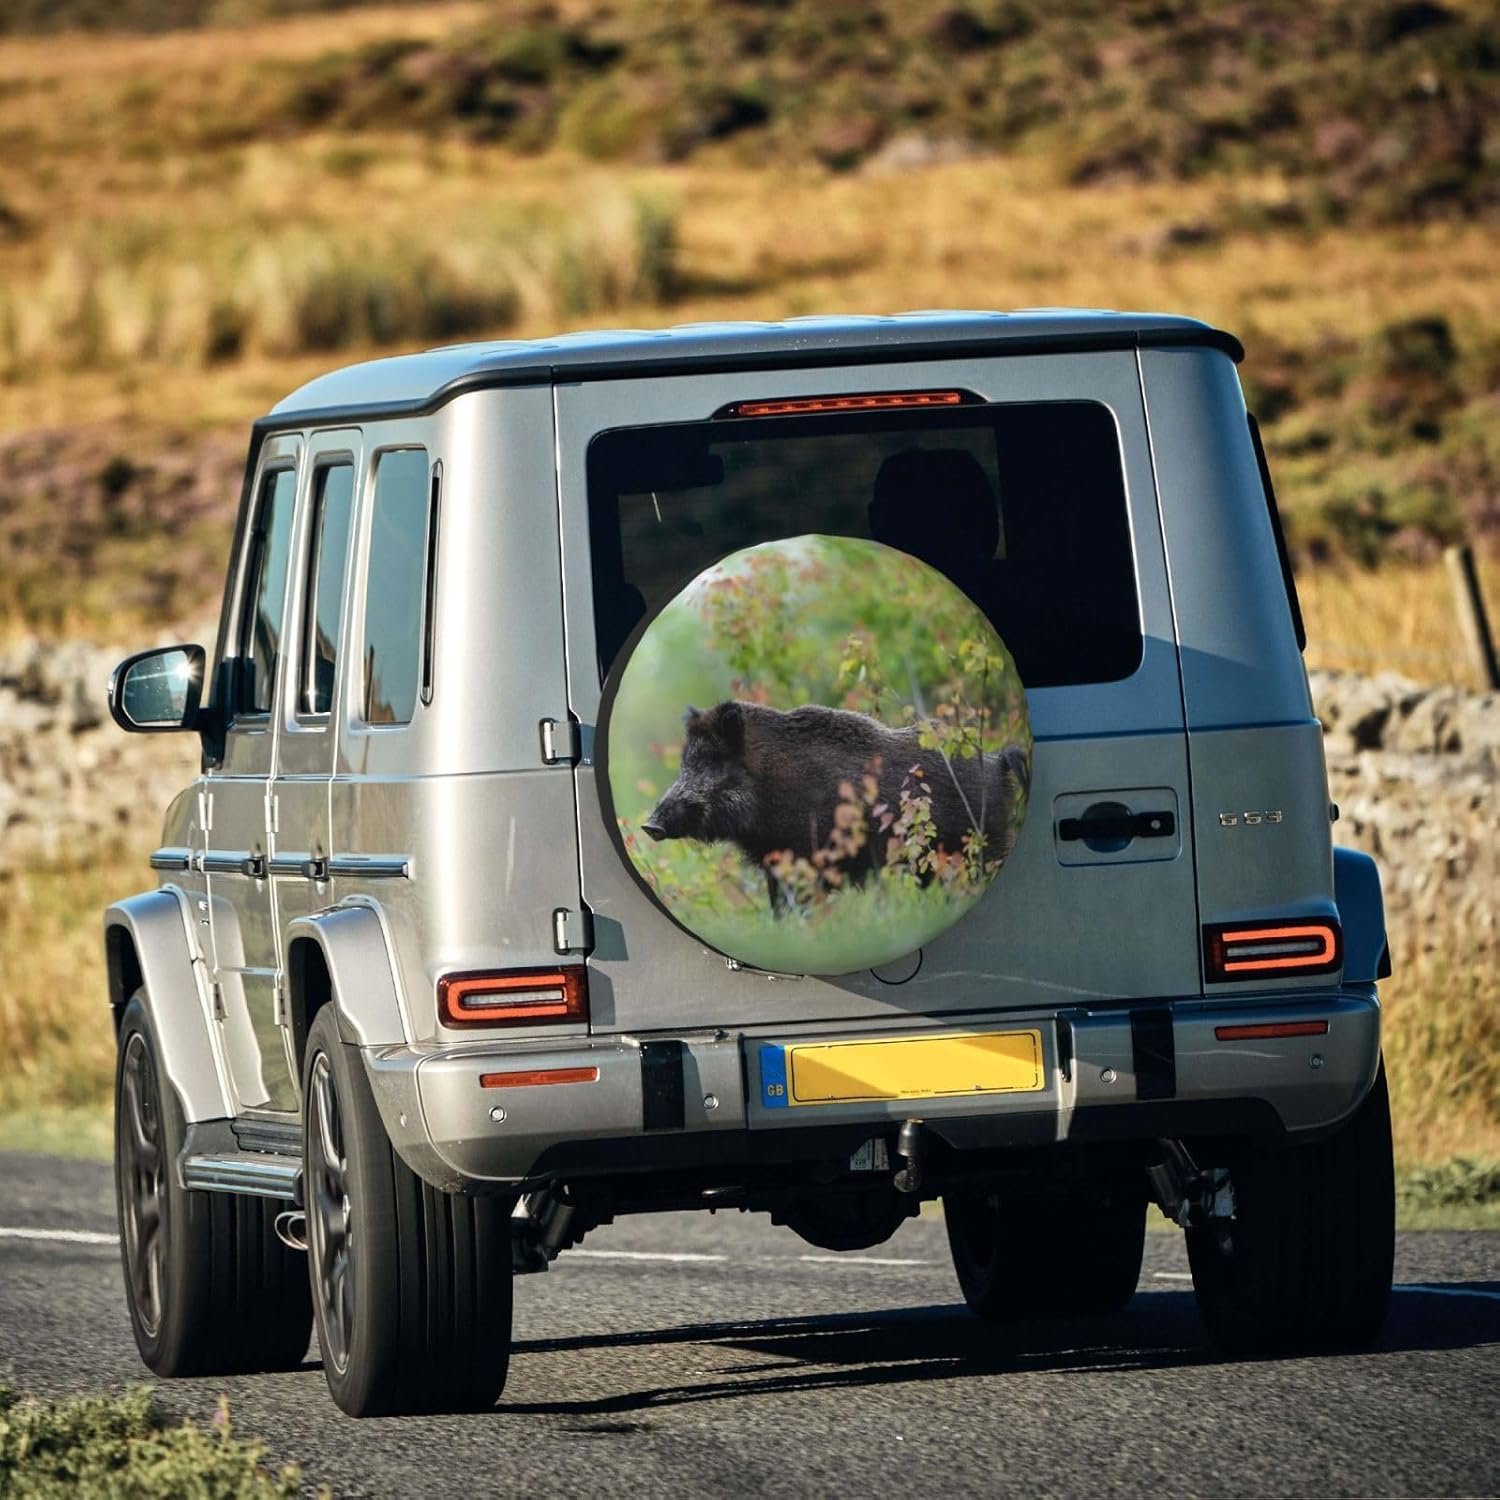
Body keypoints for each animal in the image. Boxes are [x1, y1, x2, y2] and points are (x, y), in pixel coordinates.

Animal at [639, 700, 1029, 909]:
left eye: (714, 762)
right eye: (686, 762)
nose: (650, 825)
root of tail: (999, 762)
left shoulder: (809, 858)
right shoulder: (776, 866)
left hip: (981, 846)